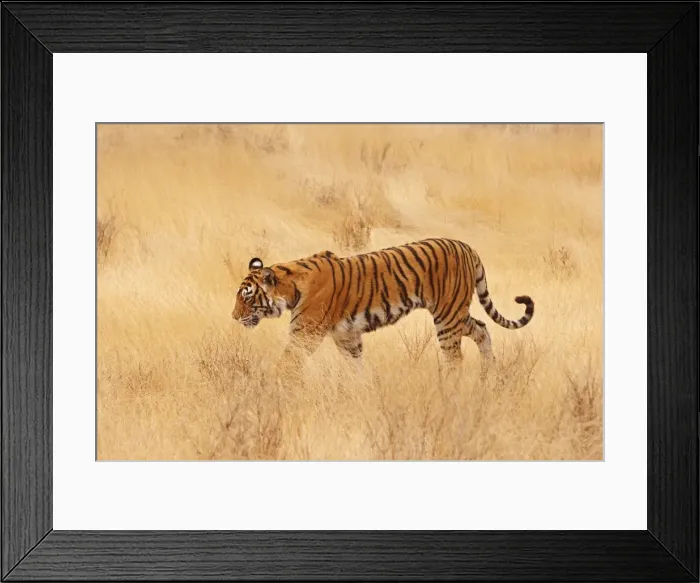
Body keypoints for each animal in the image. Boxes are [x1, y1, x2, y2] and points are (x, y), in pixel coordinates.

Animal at [231, 238, 534, 377]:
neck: (289, 285)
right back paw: (489, 376)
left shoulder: (304, 335)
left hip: (447, 317)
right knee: (482, 329)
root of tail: (467, 246)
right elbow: (357, 370)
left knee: (454, 358)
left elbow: (285, 367)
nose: (233, 317)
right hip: (456, 313)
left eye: (247, 297)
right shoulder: (347, 337)